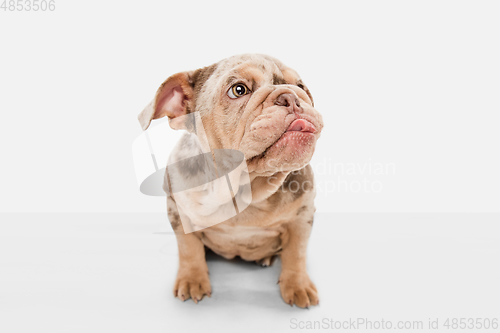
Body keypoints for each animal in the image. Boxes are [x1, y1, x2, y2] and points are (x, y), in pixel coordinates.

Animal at [137, 53, 324, 306]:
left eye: (301, 86)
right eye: (238, 89)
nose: (291, 96)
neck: (245, 188)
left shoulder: (302, 217)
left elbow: (296, 252)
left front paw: (297, 285)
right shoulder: (178, 212)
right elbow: (188, 248)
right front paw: (193, 279)